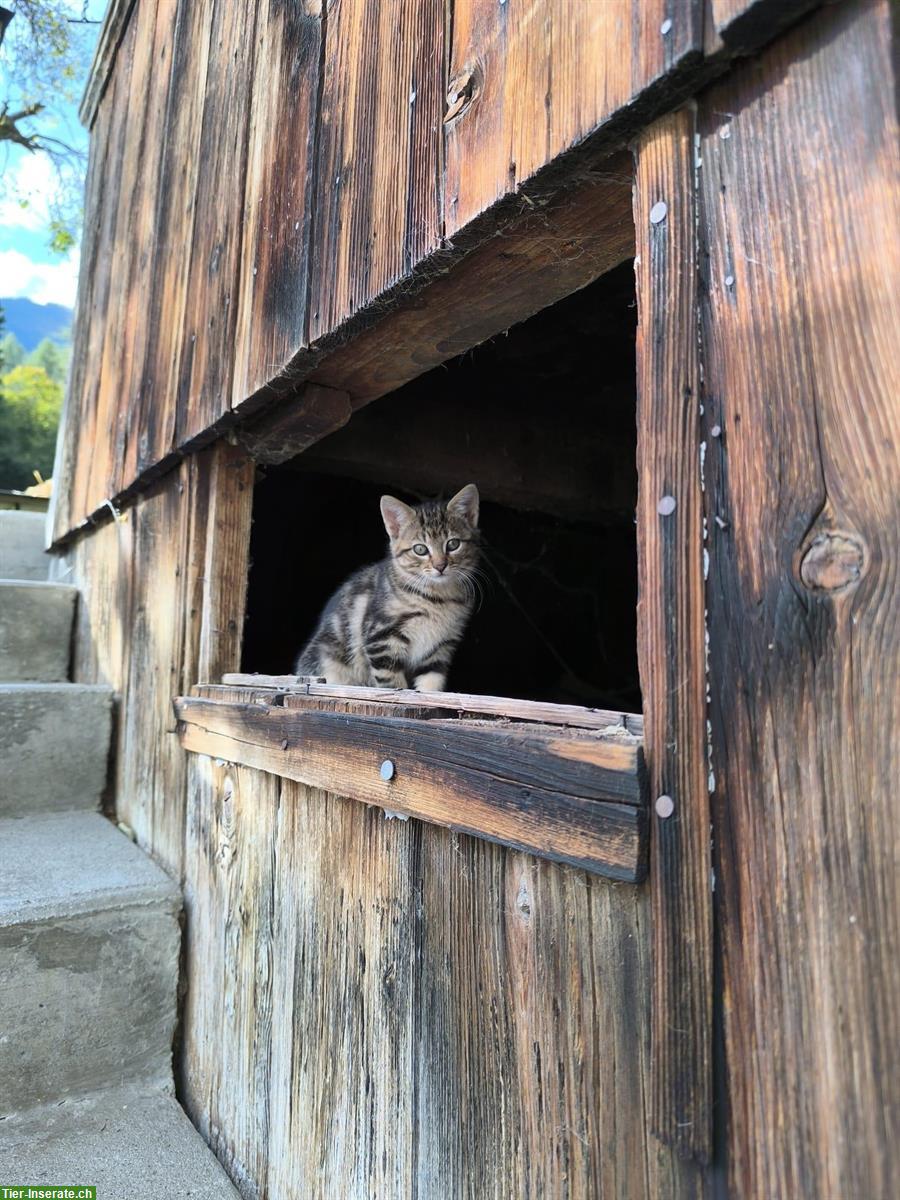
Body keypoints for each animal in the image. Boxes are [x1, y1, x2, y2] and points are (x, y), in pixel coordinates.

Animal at [294, 484, 480, 691]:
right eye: (420, 549)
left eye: (453, 544)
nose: (440, 566)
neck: (438, 597)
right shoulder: (381, 638)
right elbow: (393, 683)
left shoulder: (441, 647)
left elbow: (431, 683)